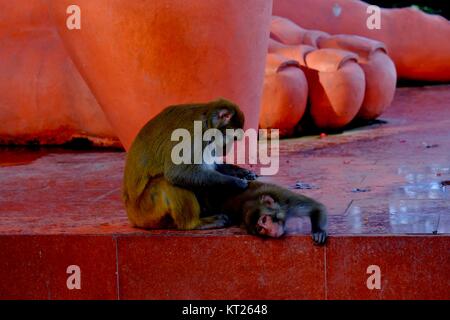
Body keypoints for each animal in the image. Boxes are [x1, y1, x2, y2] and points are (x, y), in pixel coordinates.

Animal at [123, 97, 256, 230]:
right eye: (232, 138)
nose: (227, 149)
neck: (206, 123)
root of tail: (132, 216)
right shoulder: (193, 136)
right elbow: (177, 173)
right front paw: (235, 182)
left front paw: (242, 172)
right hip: (147, 211)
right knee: (165, 182)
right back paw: (194, 223)